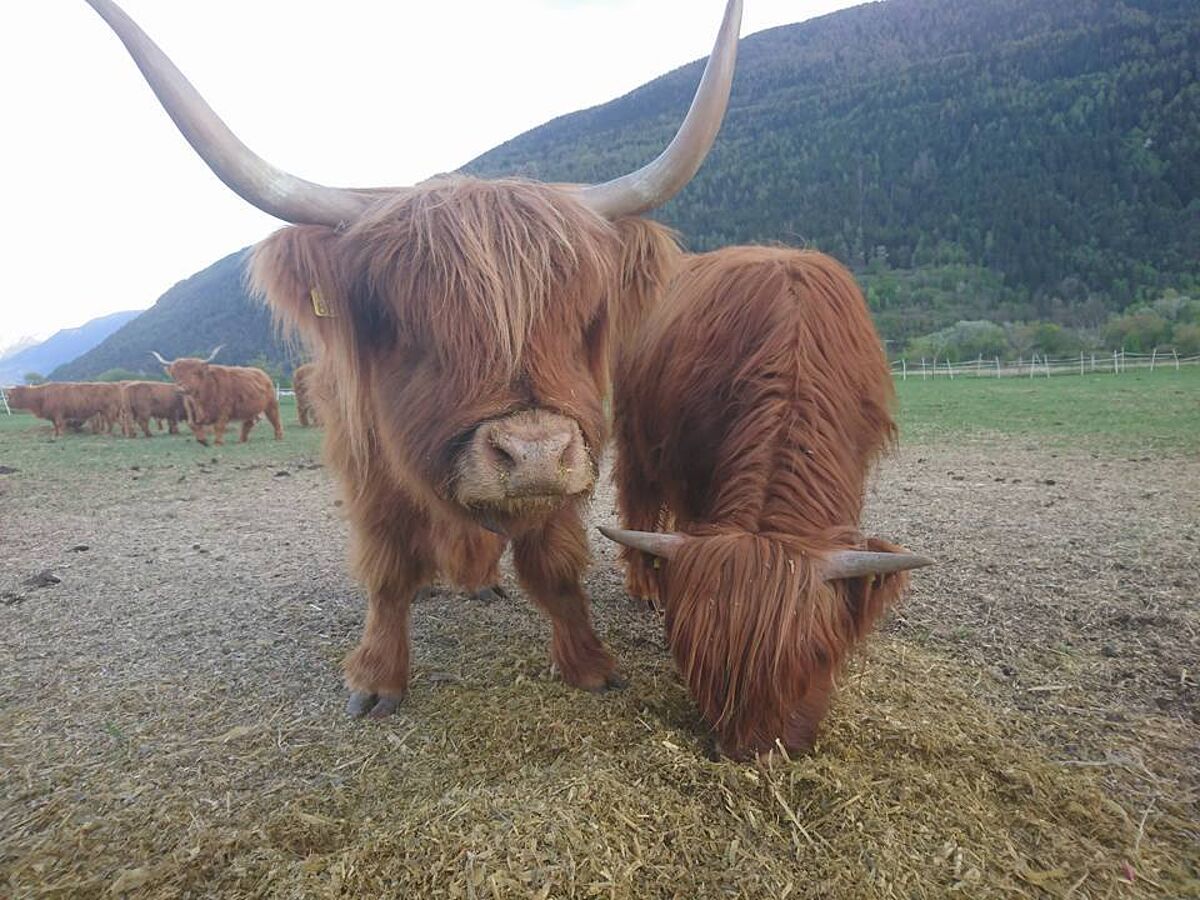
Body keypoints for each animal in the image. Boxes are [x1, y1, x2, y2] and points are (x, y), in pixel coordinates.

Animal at [84, 0, 734, 720]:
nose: (534, 453)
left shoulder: (576, 455)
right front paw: (375, 679)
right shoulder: (368, 466)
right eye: (404, 323)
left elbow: (558, 568)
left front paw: (589, 664)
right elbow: (388, 570)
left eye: (581, 315)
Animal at [604, 248, 931, 763]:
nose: (751, 751)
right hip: (637, 439)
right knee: (639, 499)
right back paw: (647, 583)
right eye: (693, 652)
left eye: (819, 654)